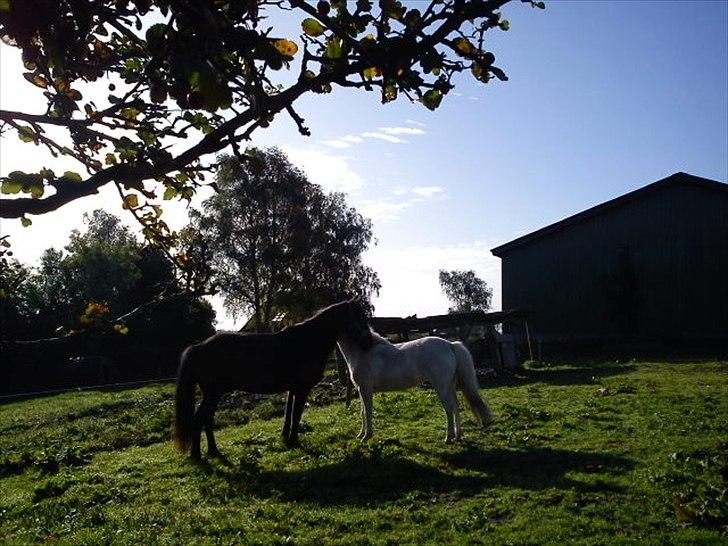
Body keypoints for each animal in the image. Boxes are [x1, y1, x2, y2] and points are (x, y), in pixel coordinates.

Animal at [173, 300, 372, 456]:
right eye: (360, 318)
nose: (369, 342)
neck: (307, 341)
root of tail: (199, 347)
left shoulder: (293, 389)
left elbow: (289, 414)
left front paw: (287, 438)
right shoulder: (302, 389)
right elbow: (296, 415)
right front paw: (294, 441)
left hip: (213, 394)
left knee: (206, 419)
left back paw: (213, 451)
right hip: (213, 393)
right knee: (200, 419)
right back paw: (197, 455)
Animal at [338, 328, 492, 442]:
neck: (363, 351)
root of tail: (450, 345)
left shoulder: (365, 389)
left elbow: (367, 412)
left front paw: (366, 437)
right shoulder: (362, 390)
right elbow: (362, 412)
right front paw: (360, 434)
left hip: (441, 386)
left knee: (449, 407)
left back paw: (449, 437)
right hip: (450, 386)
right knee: (455, 406)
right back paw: (458, 435)